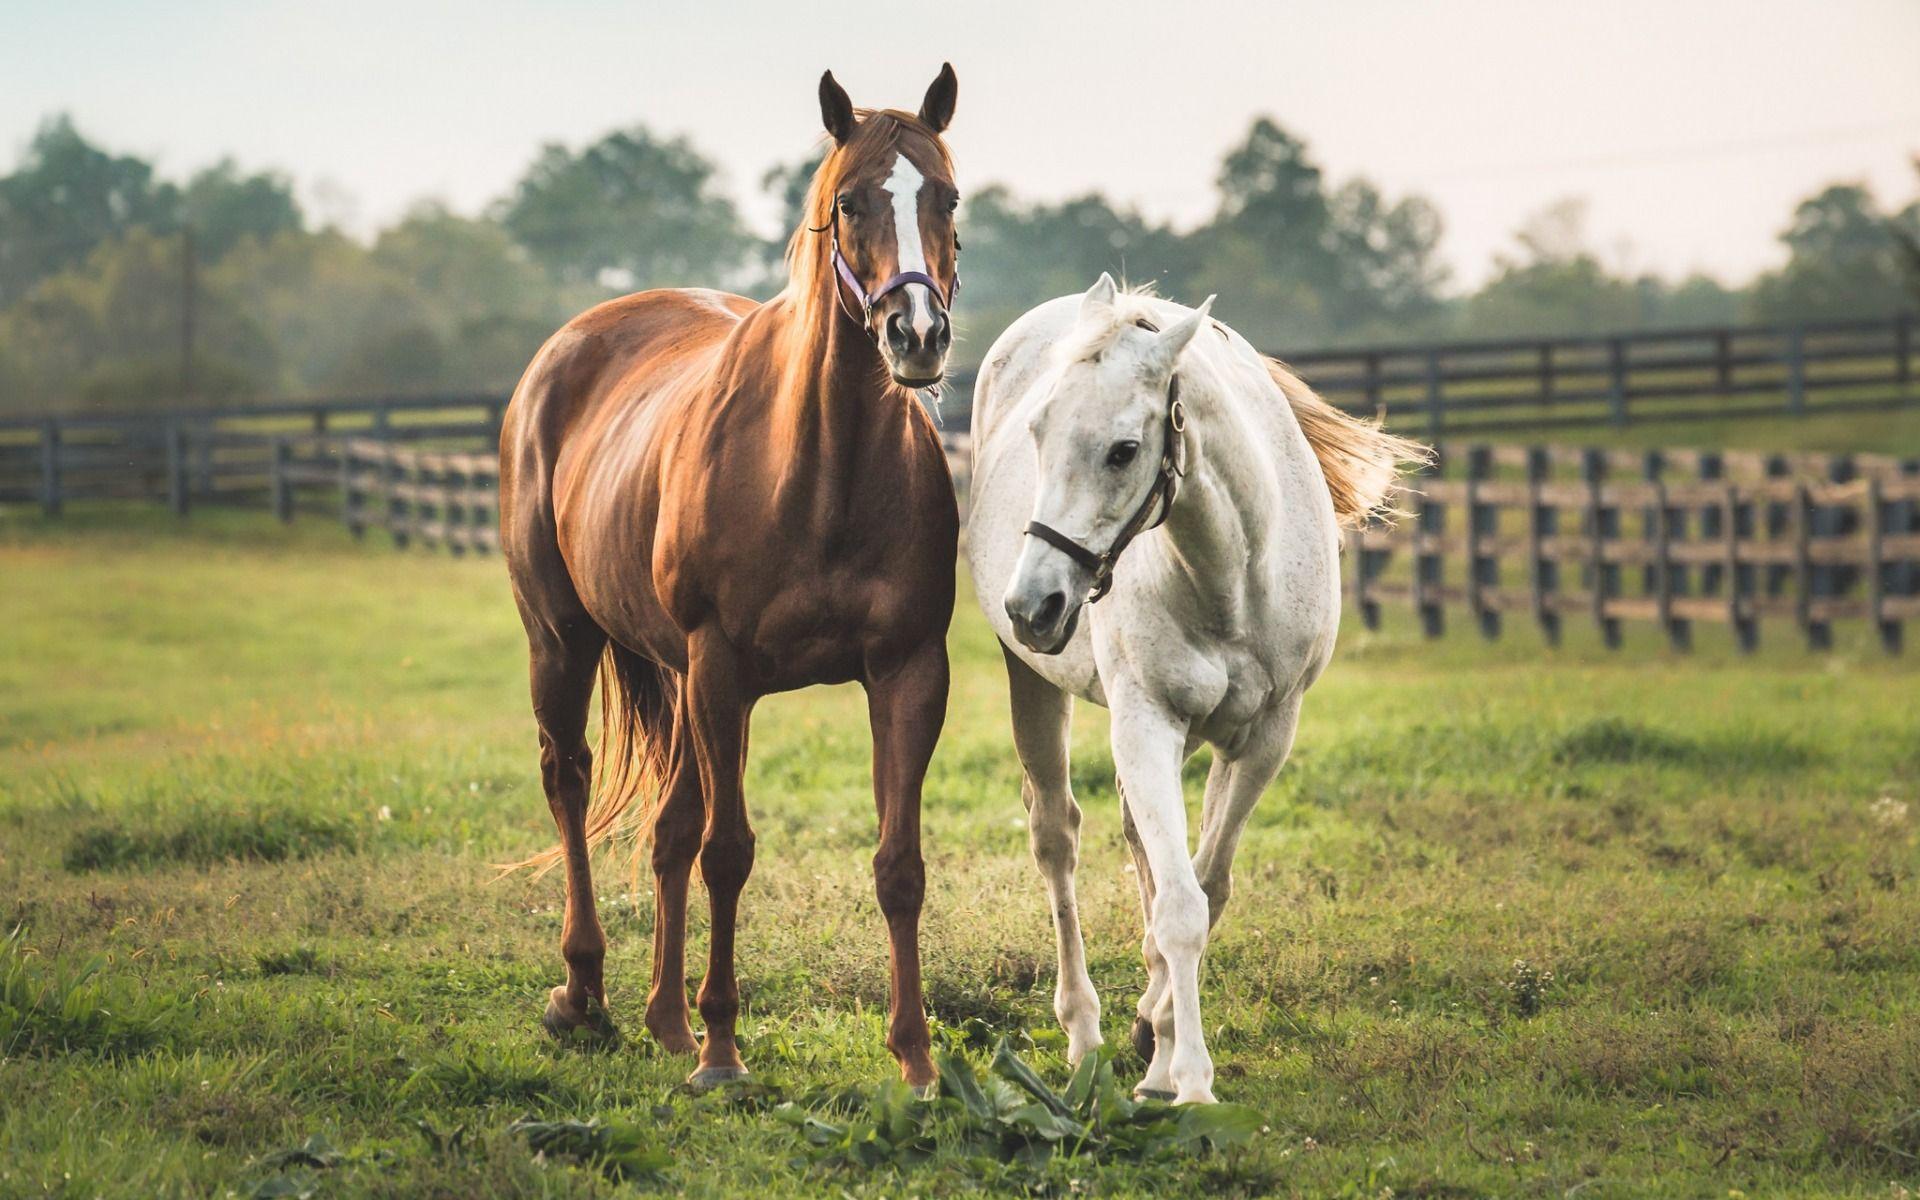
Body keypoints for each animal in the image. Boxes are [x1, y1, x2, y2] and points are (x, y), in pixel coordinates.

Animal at [498, 65, 963, 1090]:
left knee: (667, 828)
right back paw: (584, 993)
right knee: (569, 780)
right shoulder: (722, 670)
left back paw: (663, 1019)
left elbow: (898, 864)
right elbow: (729, 852)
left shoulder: (908, 673)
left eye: (948, 198)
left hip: (675, 677)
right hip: (564, 642)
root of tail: (565, 348)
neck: (820, 470)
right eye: (850, 201)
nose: (915, 335)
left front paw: (915, 1061)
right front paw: (721, 1051)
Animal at [964, 275, 1427, 1103]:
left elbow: (1204, 889)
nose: (1033, 605)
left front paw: (1161, 1042)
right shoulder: (1148, 721)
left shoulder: (1265, 739)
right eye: (1039, 431)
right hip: (1037, 687)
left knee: (1140, 850)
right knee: (1057, 837)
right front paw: (1190, 1080)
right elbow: (1181, 904)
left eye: (1123, 450)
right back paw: (1085, 1033)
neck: (1230, 574)